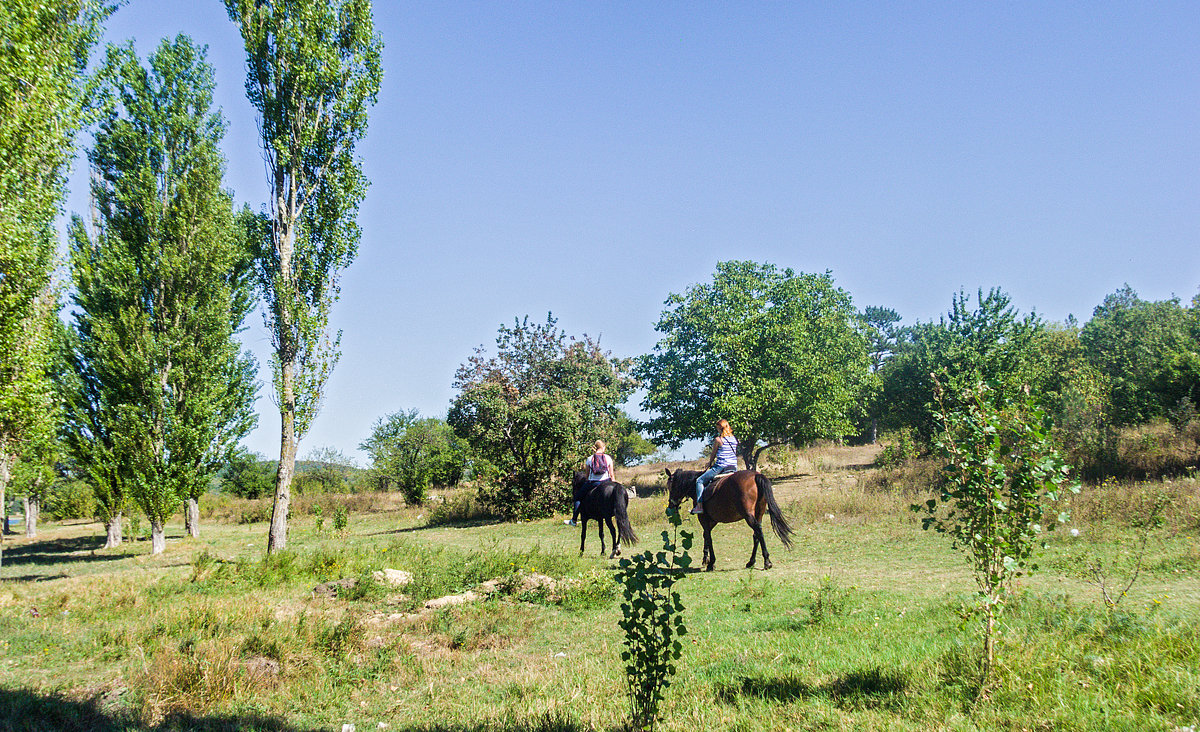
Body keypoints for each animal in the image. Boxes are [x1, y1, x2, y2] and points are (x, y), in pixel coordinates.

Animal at [662, 468, 792, 571]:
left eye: (671, 487)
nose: (671, 506)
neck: (695, 485)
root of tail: (756, 475)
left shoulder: (704, 519)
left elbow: (708, 538)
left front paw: (711, 563)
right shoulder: (712, 520)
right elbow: (706, 536)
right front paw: (705, 559)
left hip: (748, 515)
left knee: (758, 532)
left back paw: (767, 561)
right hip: (759, 513)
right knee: (756, 535)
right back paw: (751, 562)